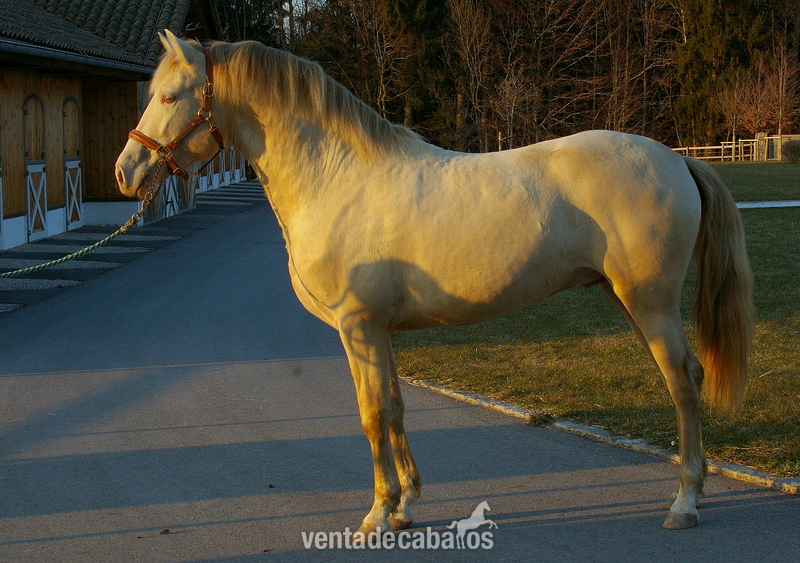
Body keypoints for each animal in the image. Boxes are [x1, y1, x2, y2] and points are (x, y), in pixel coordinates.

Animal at [115, 30, 754, 532]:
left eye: (169, 96)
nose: (126, 172)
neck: (336, 177)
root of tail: (676, 158)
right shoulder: (379, 331)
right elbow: (395, 409)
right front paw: (404, 508)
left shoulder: (358, 328)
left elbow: (371, 414)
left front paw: (377, 514)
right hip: (633, 302)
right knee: (683, 380)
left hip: (651, 303)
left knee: (683, 383)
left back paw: (685, 503)